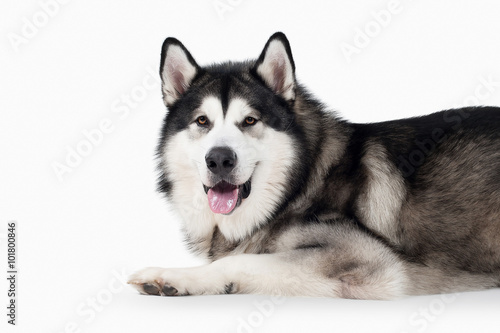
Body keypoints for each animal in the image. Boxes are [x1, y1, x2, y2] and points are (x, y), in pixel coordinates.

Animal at [129, 31, 500, 298]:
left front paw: (169, 275)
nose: (219, 158)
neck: (300, 184)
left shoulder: (373, 264)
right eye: (202, 121)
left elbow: (241, 260)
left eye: (249, 120)